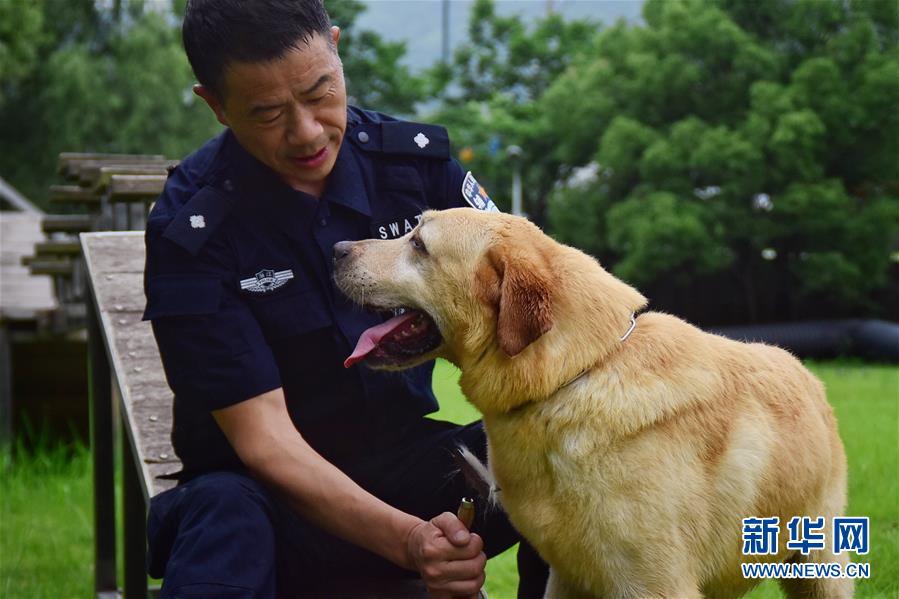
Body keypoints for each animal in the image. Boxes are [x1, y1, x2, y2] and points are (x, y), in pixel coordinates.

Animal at [332, 209, 852, 596]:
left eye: (419, 244)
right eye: (411, 231)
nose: (336, 250)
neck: (574, 375)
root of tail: (804, 372)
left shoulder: (656, 584)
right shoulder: (568, 576)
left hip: (820, 563)